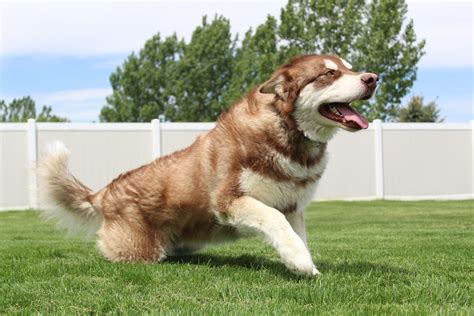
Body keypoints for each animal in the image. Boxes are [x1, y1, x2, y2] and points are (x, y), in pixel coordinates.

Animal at [38, 55, 378, 276]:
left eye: (349, 68)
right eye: (328, 74)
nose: (373, 78)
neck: (289, 137)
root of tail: (105, 191)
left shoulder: (293, 206)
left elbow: (296, 235)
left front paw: (301, 261)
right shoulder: (230, 201)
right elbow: (274, 219)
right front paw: (301, 262)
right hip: (140, 250)